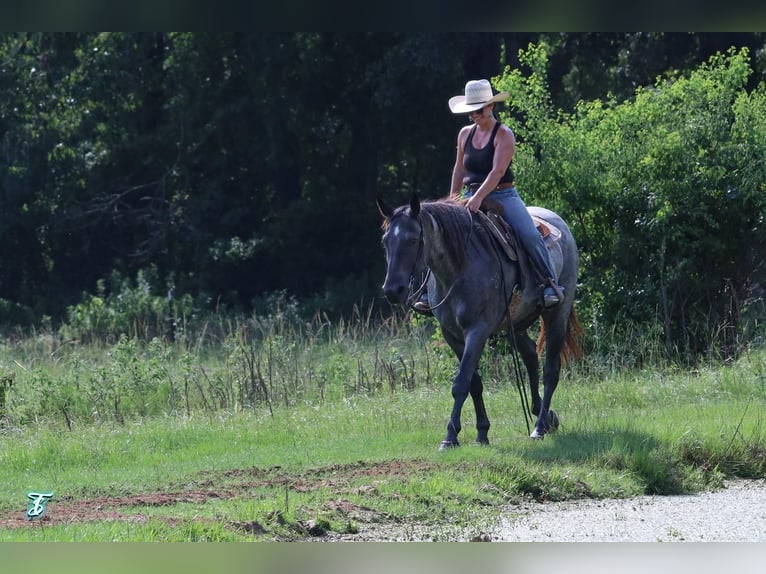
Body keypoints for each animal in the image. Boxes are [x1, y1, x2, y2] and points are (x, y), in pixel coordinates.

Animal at [376, 194, 584, 450]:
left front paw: (450, 436)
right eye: (385, 241)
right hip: (517, 323)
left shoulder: (477, 331)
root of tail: (559, 222)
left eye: (413, 240)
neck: (459, 269)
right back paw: (542, 415)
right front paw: (482, 432)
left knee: (550, 370)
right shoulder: (452, 334)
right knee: (530, 358)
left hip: (557, 314)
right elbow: (473, 382)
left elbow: (461, 383)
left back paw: (539, 426)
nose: (392, 290)